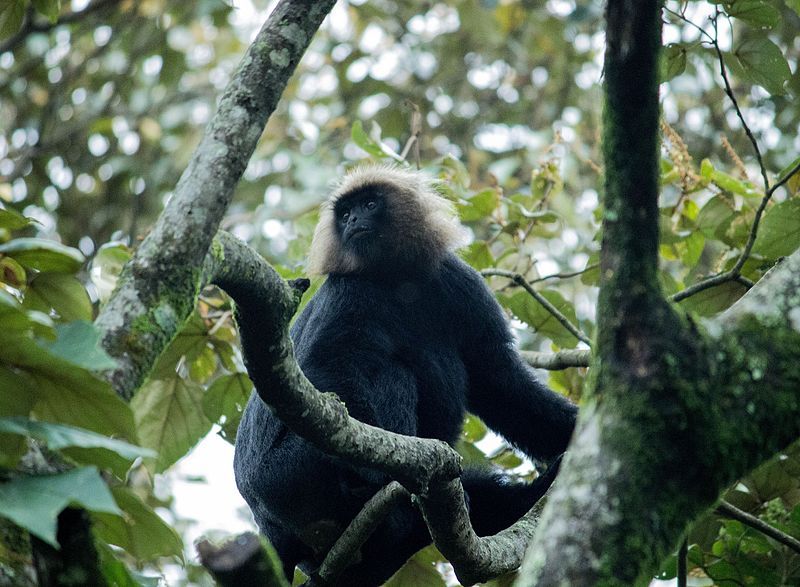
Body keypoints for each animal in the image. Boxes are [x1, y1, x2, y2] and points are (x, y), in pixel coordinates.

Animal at [234, 165, 580, 587]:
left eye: (369, 204)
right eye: (345, 213)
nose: (353, 221)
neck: (398, 280)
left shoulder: (460, 282)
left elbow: (499, 381)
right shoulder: (349, 290)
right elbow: (327, 369)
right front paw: (381, 477)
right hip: (288, 479)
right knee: (389, 374)